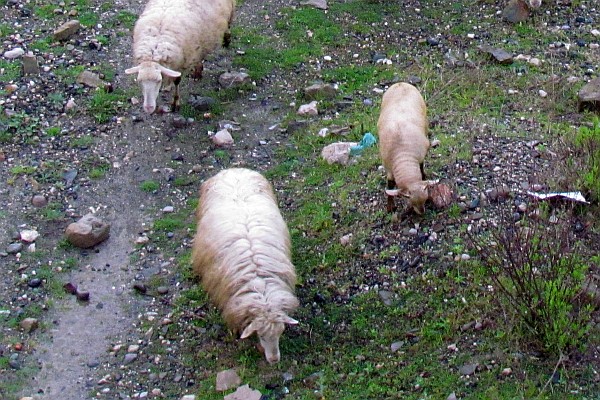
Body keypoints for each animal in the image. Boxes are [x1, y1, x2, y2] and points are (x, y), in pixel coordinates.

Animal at [378, 82, 434, 216]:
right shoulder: (388, 167)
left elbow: (421, 166)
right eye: (409, 199)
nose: (422, 212)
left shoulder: (420, 155)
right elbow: (390, 186)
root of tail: (401, 83)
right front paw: (390, 207)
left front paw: (424, 175)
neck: (403, 155)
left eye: (425, 199)